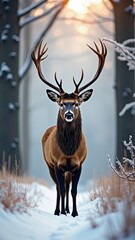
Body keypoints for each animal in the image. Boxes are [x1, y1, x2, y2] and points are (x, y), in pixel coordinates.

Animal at [31, 39, 107, 218]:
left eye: (77, 103)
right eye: (61, 104)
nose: (69, 114)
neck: (68, 151)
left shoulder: (79, 164)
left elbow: (73, 190)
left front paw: (74, 213)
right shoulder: (56, 163)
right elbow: (61, 189)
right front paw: (59, 211)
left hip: (68, 170)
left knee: (66, 186)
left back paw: (66, 209)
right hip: (49, 164)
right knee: (60, 188)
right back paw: (60, 210)